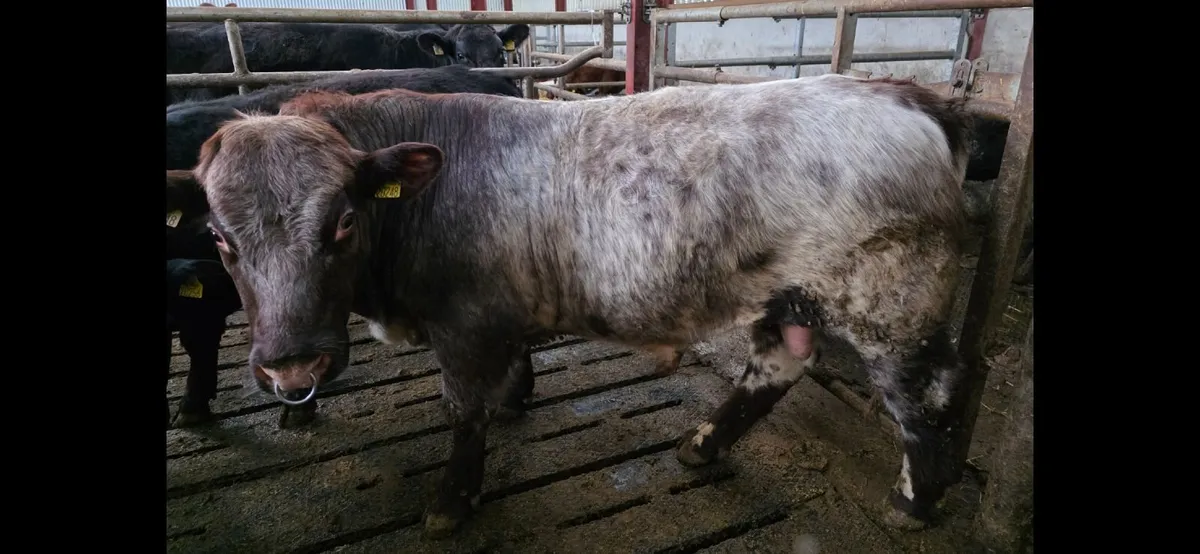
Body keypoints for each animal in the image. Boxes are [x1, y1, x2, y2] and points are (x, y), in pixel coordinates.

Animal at [167, 73, 975, 539]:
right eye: (220, 237)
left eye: (342, 222)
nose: (292, 364)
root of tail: (909, 97)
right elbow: (511, 371)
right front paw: (518, 399)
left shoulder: (463, 327)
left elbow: (464, 411)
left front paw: (451, 501)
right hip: (790, 296)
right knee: (775, 367)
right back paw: (703, 444)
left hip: (893, 305)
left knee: (926, 396)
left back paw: (913, 503)